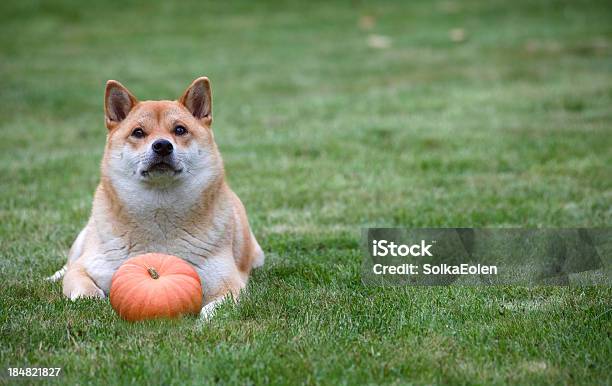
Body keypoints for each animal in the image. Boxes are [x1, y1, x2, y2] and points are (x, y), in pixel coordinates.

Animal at [49, 77, 264, 318]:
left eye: (180, 129)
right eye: (138, 132)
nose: (162, 145)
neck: (160, 212)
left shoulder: (230, 283)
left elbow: (216, 308)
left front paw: (203, 319)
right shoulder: (85, 268)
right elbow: (84, 289)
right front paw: (94, 301)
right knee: (68, 264)